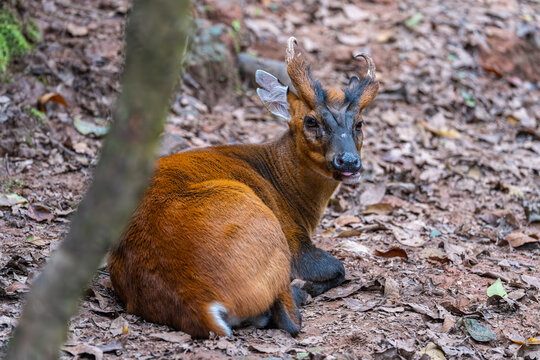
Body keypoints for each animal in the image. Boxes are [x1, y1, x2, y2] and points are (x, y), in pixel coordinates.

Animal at [108, 38, 380, 338]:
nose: (349, 161)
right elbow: (339, 268)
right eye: (311, 121)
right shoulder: (296, 242)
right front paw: (307, 285)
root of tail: (201, 304)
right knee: (289, 317)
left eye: (359, 124)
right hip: (266, 227)